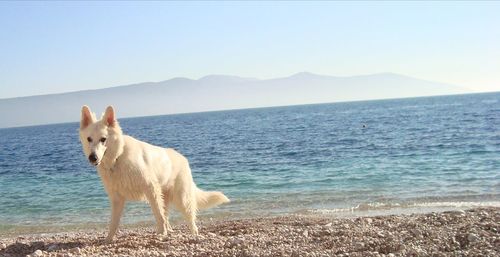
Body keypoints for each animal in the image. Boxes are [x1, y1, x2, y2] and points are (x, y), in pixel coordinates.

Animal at [79, 104, 229, 240]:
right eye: (89, 139)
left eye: (103, 139)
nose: (92, 157)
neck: (118, 157)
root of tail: (183, 158)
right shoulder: (117, 198)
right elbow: (113, 223)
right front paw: (108, 239)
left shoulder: (150, 189)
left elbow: (158, 215)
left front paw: (161, 233)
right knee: (166, 215)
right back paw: (170, 231)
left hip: (182, 199)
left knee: (189, 219)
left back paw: (194, 235)